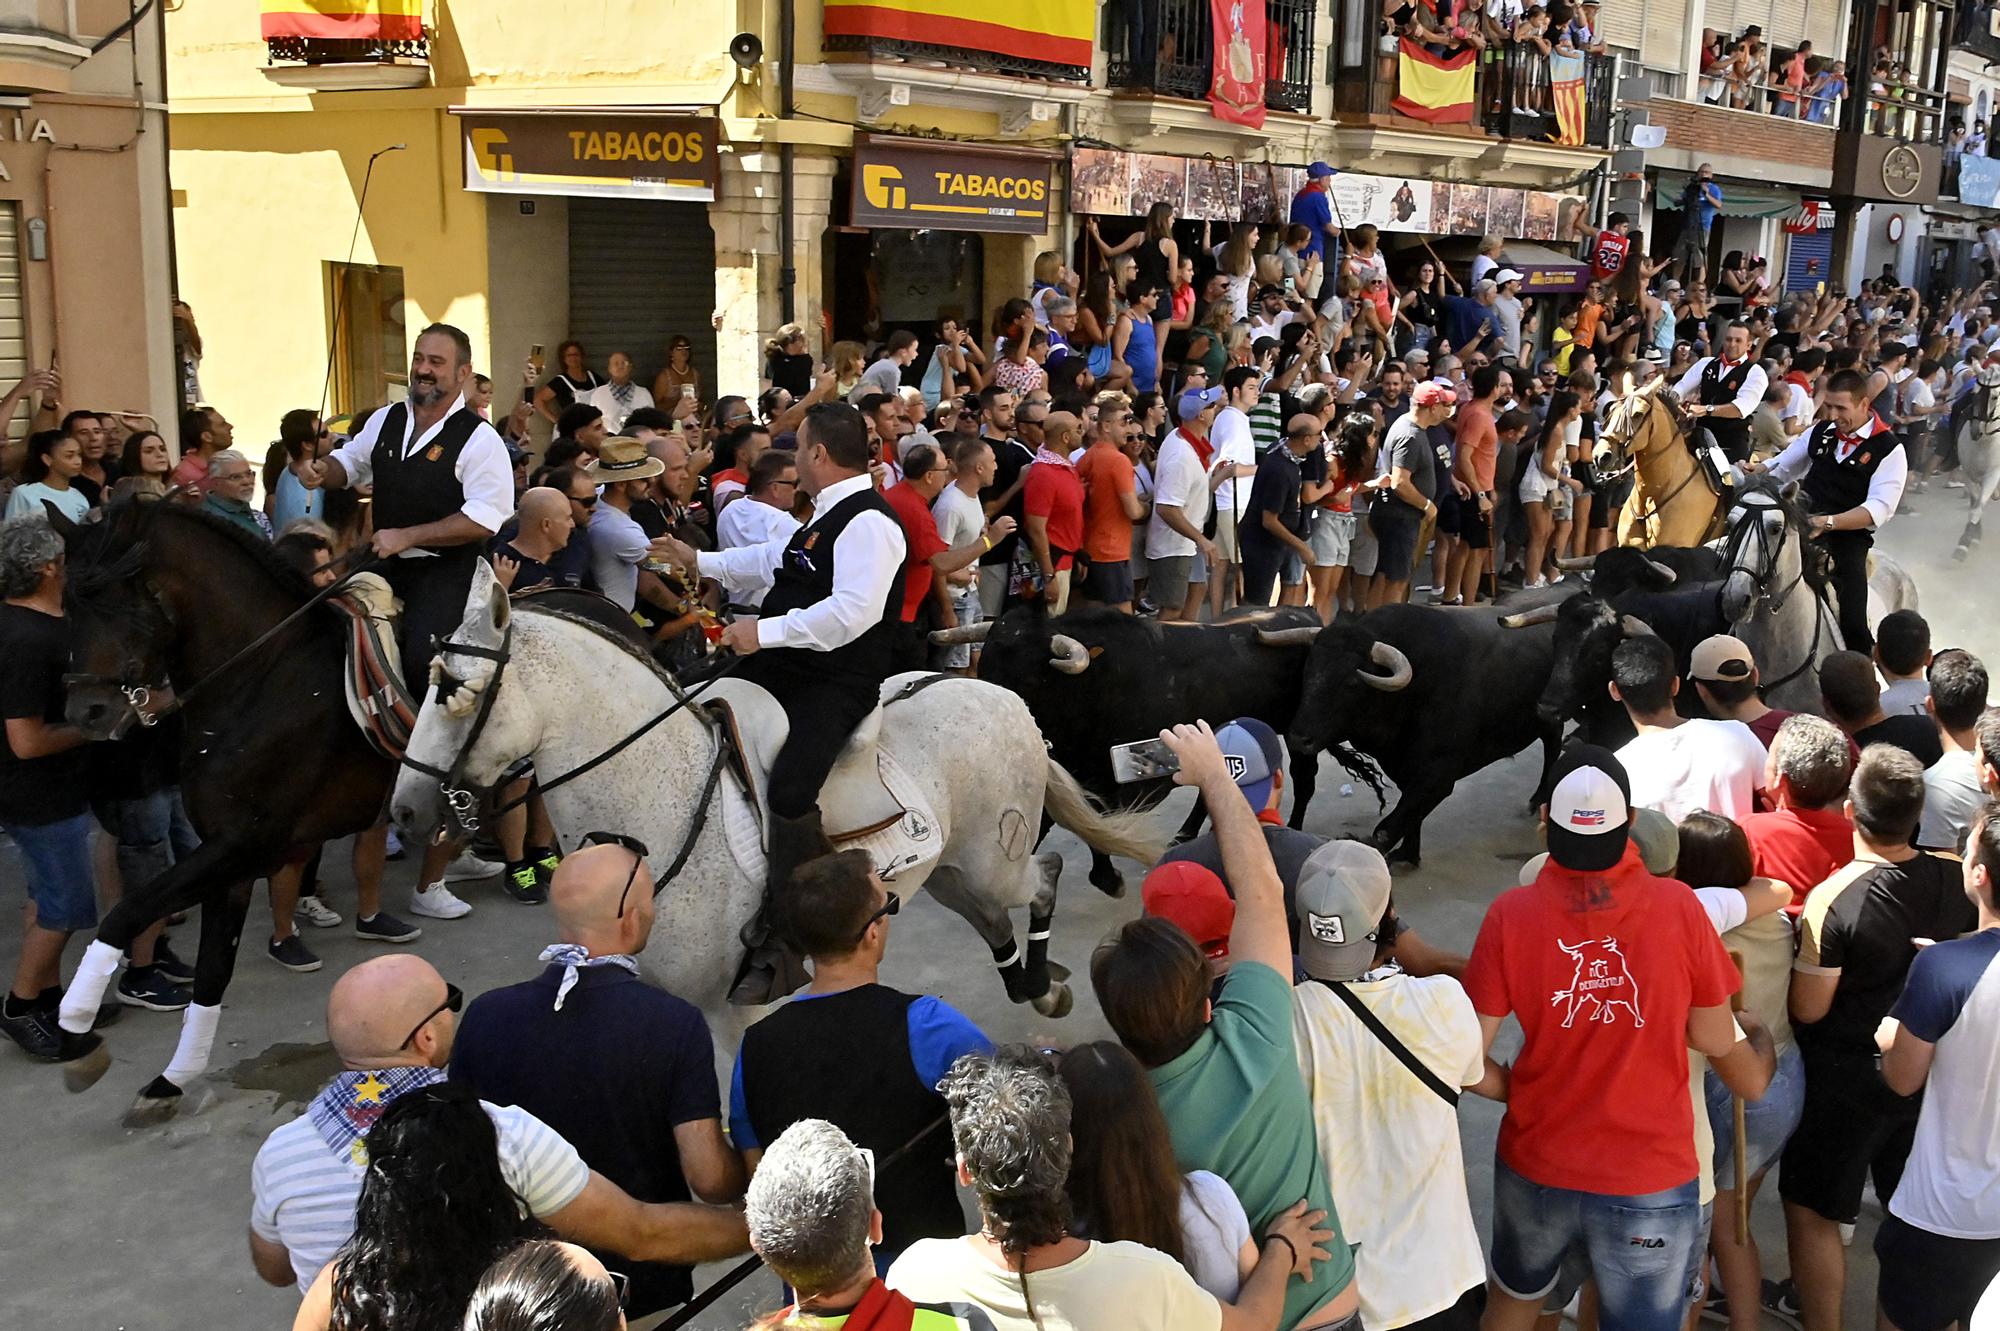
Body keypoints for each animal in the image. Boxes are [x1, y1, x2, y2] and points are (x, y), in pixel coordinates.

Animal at [388, 559, 1168, 1039]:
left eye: (450, 688)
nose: (404, 810)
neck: (661, 801)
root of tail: (999, 690)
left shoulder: (734, 1011)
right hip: (947, 872)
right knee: (994, 918)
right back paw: (1034, 984)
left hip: (990, 861)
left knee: (1043, 877)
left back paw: (1044, 978)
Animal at [956, 607, 1328, 887]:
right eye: (984, 667)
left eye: (1031, 679)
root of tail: (1305, 613)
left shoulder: (1127, 779)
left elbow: (1098, 820)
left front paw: (1108, 877)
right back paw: (1185, 835)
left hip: (1299, 733)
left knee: (1304, 778)